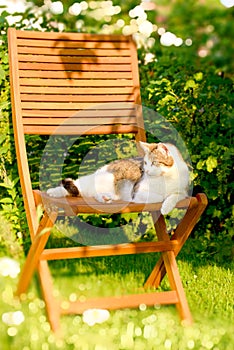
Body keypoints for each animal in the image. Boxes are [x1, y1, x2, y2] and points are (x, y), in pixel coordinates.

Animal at [46, 141, 190, 215]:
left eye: (154, 163)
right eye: (145, 162)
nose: (147, 171)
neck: (166, 177)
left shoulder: (183, 192)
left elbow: (174, 196)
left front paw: (166, 207)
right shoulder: (137, 191)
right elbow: (159, 197)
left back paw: (104, 197)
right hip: (103, 179)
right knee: (77, 185)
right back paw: (53, 192)